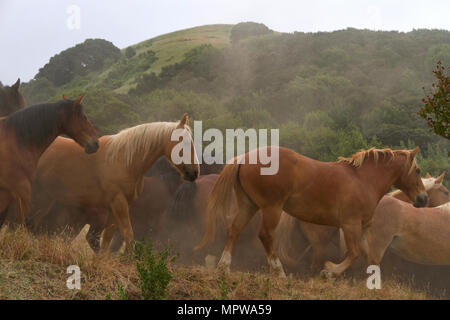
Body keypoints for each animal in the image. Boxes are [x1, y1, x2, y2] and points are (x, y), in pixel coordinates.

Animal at [29, 114, 199, 251]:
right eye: (183, 143)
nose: (194, 173)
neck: (123, 159)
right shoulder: (119, 203)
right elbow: (128, 233)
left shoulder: (115, 207)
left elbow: (108, 238)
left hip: (47, 198)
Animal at [198, 146, 428, 278]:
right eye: (417, 170)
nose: (423, 199)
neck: (363, 180)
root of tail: (245, 158)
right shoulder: (350, 225)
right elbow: (353, 254)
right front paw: (330, 271)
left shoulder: (363, 228)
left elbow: (371, 259)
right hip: (272, 208)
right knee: (265, 236)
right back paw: (279, 272)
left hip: (249, 206)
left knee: (233, 230)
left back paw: (224, 267)